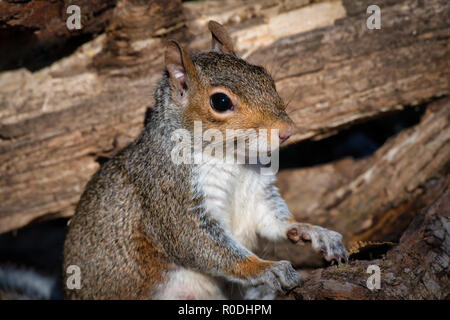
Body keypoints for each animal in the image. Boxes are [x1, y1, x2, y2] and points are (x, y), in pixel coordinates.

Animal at [63, 20, 348, 300]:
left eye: (265, 76)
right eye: (220, 101)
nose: (287, 130)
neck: (231, 158)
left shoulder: (257, 192)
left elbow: (271, 219)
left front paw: (313, 231)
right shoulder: (171, 197)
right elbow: (200, 243)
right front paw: (267, 268)